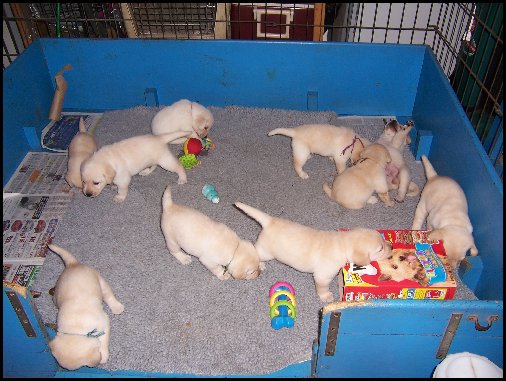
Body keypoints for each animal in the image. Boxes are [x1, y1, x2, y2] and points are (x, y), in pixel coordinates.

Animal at [47, 242, 124, 370]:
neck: (76, 330)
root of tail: (73, 264)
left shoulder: (104, 322)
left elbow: (104, 341)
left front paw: (103, 356)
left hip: (100, 281)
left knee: (108, 295)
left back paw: (117, 307)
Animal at [233, 200, 392, 302]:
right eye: (380, 249)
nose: (391, 246)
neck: (342, 243)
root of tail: (270, 220)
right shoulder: (323, 276)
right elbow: (322, 287)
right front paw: (326, 296)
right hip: (266, 252)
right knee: (256, 252)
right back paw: (258, 264)